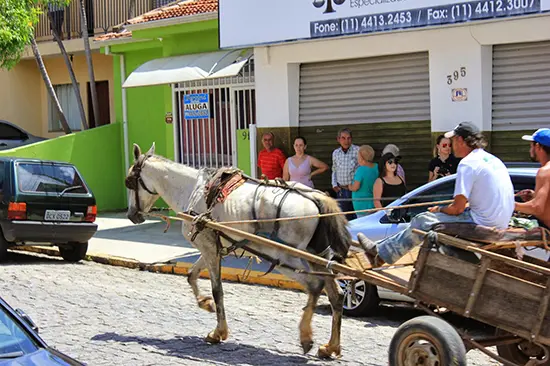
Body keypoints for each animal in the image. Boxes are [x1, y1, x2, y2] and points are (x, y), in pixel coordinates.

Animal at [125, 143, 354, 358]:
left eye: (130, 182)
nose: (131, 214)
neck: (192, 189)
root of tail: (316, 198)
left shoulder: (208, 247)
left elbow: (217, 290)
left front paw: (218, 332)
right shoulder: (211, 246)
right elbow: (191, 275)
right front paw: (205, 304)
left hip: (285, 257)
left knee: (314, 286)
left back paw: (306, 335)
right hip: (317, 256)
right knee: (336, 295)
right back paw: (331, 347)